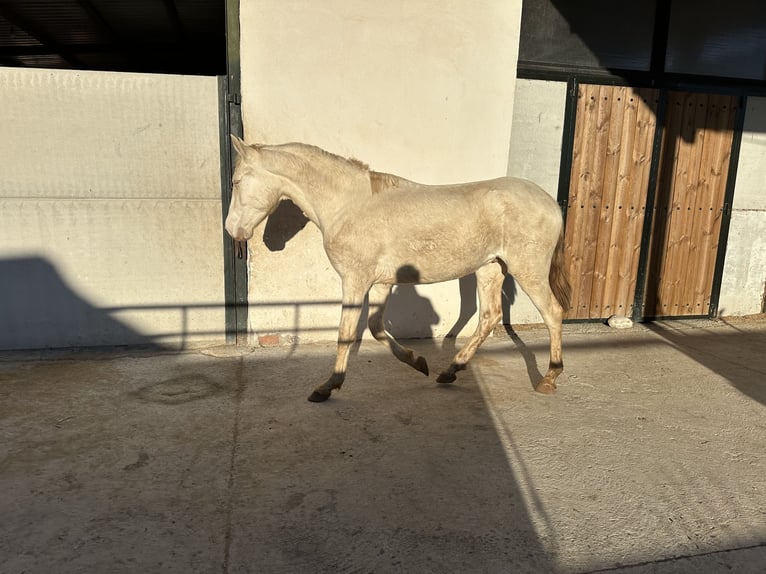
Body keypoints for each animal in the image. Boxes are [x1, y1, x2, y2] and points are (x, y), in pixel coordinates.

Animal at [222, 137, 568, 402]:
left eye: (236, 181)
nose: (232, 230)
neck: (350, 205)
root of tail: (550, 203)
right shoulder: (380, 284)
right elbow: (376, 328)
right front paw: (418, 362)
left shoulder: (355, 280)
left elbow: (346, 333)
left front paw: (327, 387)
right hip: (490, 268)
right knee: (489, 317)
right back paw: (450, 370)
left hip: (527, 269)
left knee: (552, 313)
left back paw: (549, 378)